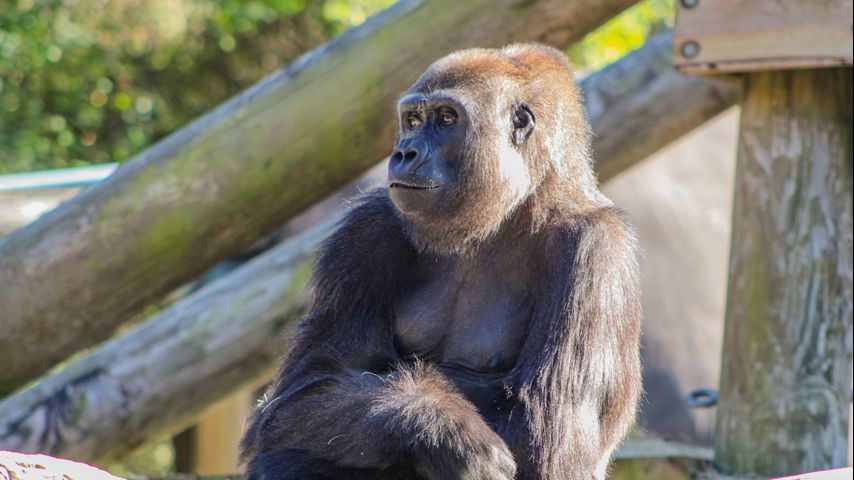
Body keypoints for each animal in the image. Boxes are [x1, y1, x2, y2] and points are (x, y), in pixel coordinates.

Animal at [240, 44, 642, 480]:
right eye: (413, 120)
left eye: (447, 118)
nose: (405, 152)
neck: (514, 208)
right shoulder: (366, 229)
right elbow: (299, 394)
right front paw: (439, 427)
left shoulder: (596, 250)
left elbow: (546, 434)